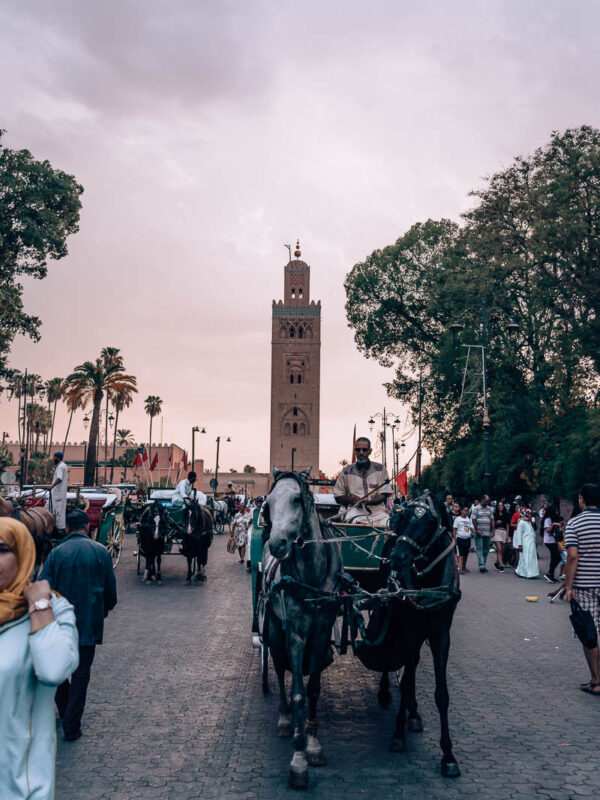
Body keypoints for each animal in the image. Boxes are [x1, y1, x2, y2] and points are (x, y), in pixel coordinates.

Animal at [354, 490, 462, 780]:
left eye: (429, 523)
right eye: (402, 519)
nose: (397, 557)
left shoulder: (442, 634)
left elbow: (442, 694)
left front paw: (448, 756)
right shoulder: (410, 628)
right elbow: (404, 677)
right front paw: (398, 734)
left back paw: (413, 712)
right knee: (395, 654)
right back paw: (386, 693)